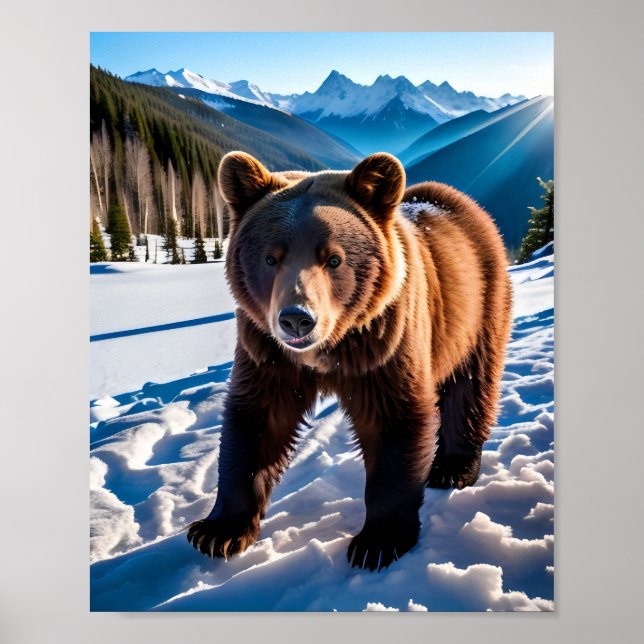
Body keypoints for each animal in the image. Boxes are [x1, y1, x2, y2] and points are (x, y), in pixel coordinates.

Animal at [187, 151, 512, 571]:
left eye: (334, 258)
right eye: (271, 257)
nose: (297, 318)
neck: (332, 348)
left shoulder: (385, 342)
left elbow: (395, 419)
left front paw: (377, 541)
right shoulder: (268, 354)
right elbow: (256, 421)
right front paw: (217, 531)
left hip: (477, 307)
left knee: (470, 384)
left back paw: (453, 467)